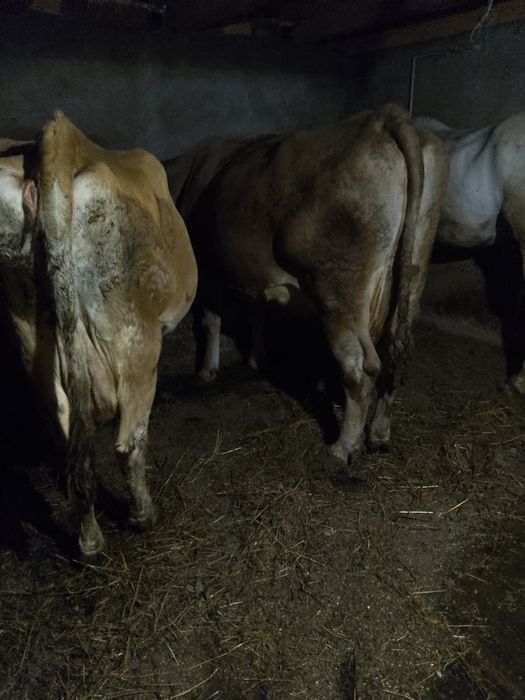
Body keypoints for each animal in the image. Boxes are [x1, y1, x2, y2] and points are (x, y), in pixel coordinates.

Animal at [0, 114, 197, 557]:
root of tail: (60, 137)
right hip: (136, 338)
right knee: (128, 443)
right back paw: (143, 516)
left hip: (31, 335)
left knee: (65, 431)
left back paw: (89, 539)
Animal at [164, 104, 448, 465]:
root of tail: (385, 117)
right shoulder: (253, 272)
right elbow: (257, 313)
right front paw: (257, 358)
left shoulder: (208, 267)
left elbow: (211, 321)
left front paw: (207, 370)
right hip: (412, 277)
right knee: (396, 355)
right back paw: (378, 435)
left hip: (339, 294)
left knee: (360, 369)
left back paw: (343, 447)